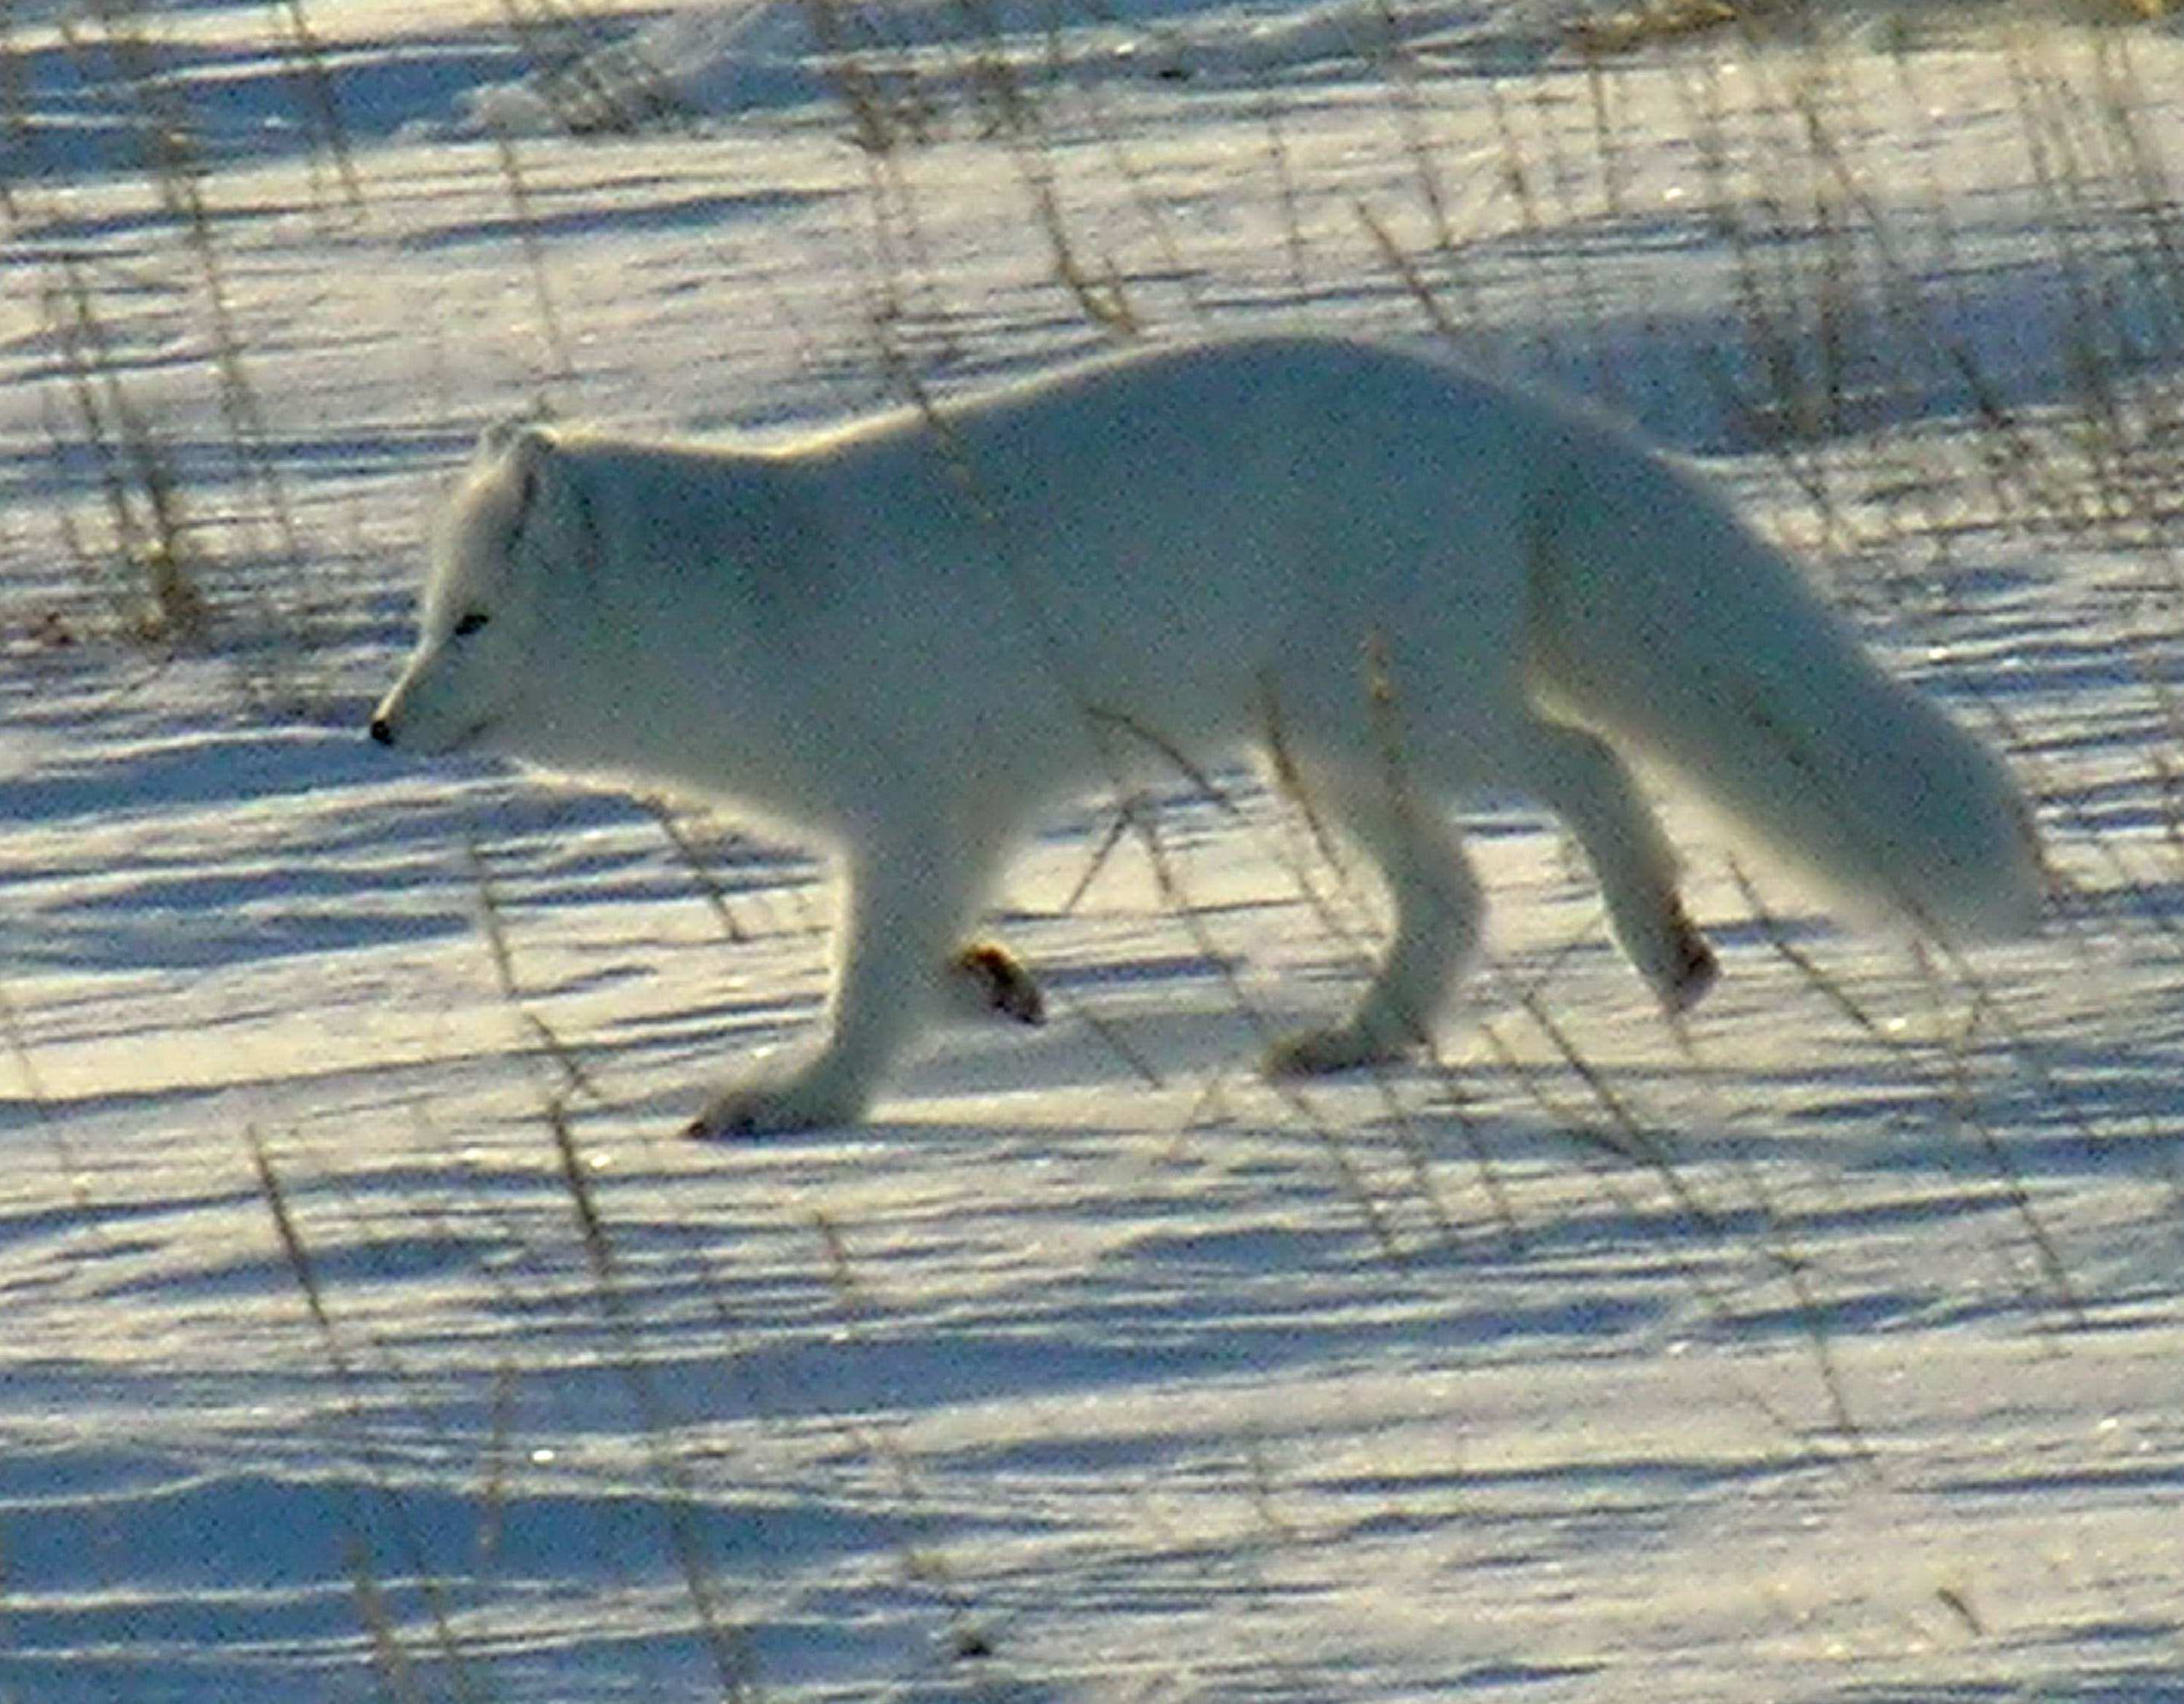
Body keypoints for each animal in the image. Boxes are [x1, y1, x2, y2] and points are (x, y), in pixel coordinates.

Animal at [375, 332, 2044, 1127]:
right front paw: (993, 990)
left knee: (1586, 765)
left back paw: (1668, 950)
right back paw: (1361, 1041)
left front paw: (807, 1102)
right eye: (428, 616)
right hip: (1329, 752)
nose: (382, 726)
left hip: (1384, 719)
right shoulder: (943, 825)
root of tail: (1509, 418)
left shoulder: (915, 811)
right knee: (1458, 895)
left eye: (471, 623)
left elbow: (862, 977)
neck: (753, 608)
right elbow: (917, 957)